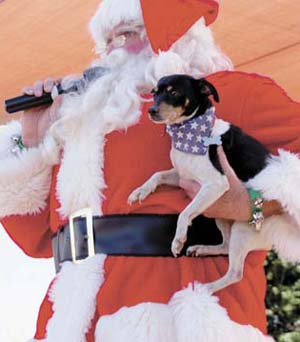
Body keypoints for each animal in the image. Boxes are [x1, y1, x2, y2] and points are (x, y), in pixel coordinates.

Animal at [128, 75, 300, 294]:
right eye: (154, 93)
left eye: (174, 92)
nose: (151, 110)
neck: (191, 133)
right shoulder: (183, 176)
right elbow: (156, 175)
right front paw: (141, 191)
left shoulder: (215, 184)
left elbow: (184, 213)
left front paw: (178, 239)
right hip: (222, 216)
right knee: (225, 247)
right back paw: (202, 249)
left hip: (242, 228)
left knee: (235, 273)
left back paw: (206, 289)